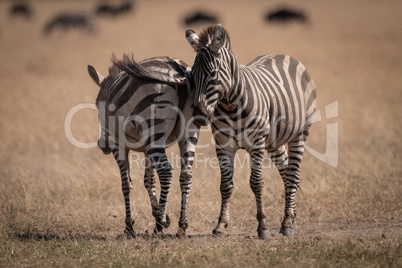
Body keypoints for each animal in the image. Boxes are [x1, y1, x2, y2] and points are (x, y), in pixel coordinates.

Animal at [88, 54, 201, 239]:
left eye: (97, 105)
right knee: (186, 174)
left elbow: (126, 184)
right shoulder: (147, 148)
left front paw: (130, 226)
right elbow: (149, 181)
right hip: (188, 132)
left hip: (153, 128)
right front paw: (161, 213)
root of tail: (180, 70)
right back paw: (181, 226)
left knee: (166, 172)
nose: (102, 146)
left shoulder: (118, 144)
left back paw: (159, 226)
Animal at [182, 24, 318, 239]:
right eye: (192, 76)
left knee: (293, 174)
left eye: (212, 74)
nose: (199, 114)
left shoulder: (256, 144)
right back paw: (291, 215)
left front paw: (262, 226)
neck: (230, 105)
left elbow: (256, 183)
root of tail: (283, 55)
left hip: (300, 134)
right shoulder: (223, 145)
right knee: (286, 172)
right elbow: (225, 186)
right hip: (274, 141)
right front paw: (221, 225)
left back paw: (287, 223)